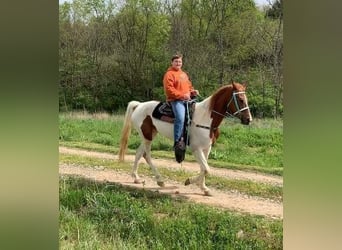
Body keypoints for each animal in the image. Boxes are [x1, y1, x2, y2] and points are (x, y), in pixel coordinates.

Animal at [119, 82, 252, 195]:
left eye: (246, 99)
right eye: (240, 100)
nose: (248, 119)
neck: (206, 118)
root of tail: (139, 105)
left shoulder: (207, 148)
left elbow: (204, 168)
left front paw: (204, 188)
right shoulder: (196, 149)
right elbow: (207, 169)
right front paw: (190, 181)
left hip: (149, 135)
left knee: (139, 153)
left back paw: (136, 178)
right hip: (147, 137)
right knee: (147, 155)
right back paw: (160, 180)